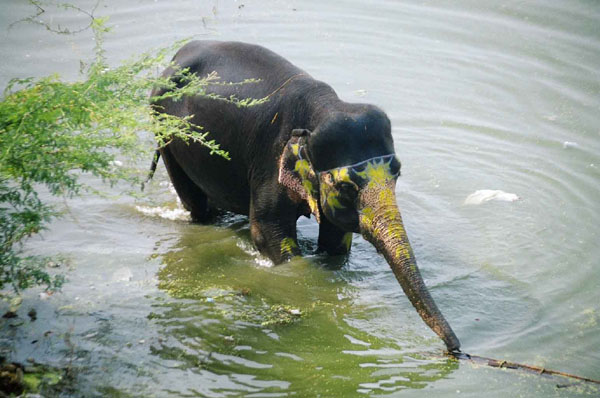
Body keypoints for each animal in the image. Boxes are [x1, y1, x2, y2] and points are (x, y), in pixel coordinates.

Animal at [149, 40, 460, 352]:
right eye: (347, 187)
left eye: (397, 173)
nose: (456, 350)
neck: (324, 107)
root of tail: (177, 55)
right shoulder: (270, 160)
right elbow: (267, 232)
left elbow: (335, 241)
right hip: (163, 131)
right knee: (196, 205)